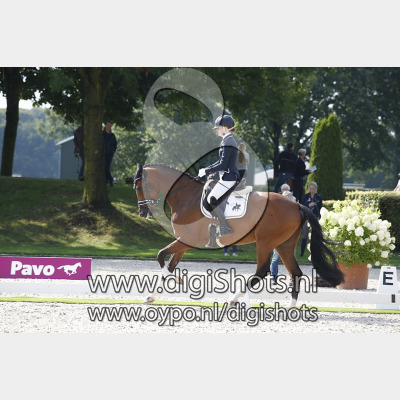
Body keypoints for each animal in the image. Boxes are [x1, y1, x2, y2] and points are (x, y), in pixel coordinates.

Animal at [133, 163, 344, 307]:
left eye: (139, 187)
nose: (143, 213)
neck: (185, 197)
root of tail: (297, 204)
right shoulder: (184, 242)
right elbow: (168, 264)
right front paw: (152, 295)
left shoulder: (187, 240)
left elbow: (161, 255)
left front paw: (175, 281)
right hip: (284, 245)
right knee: (295, 273)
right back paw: (289, 307)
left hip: (265, 242)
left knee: (262, 271)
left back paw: (234, 298)